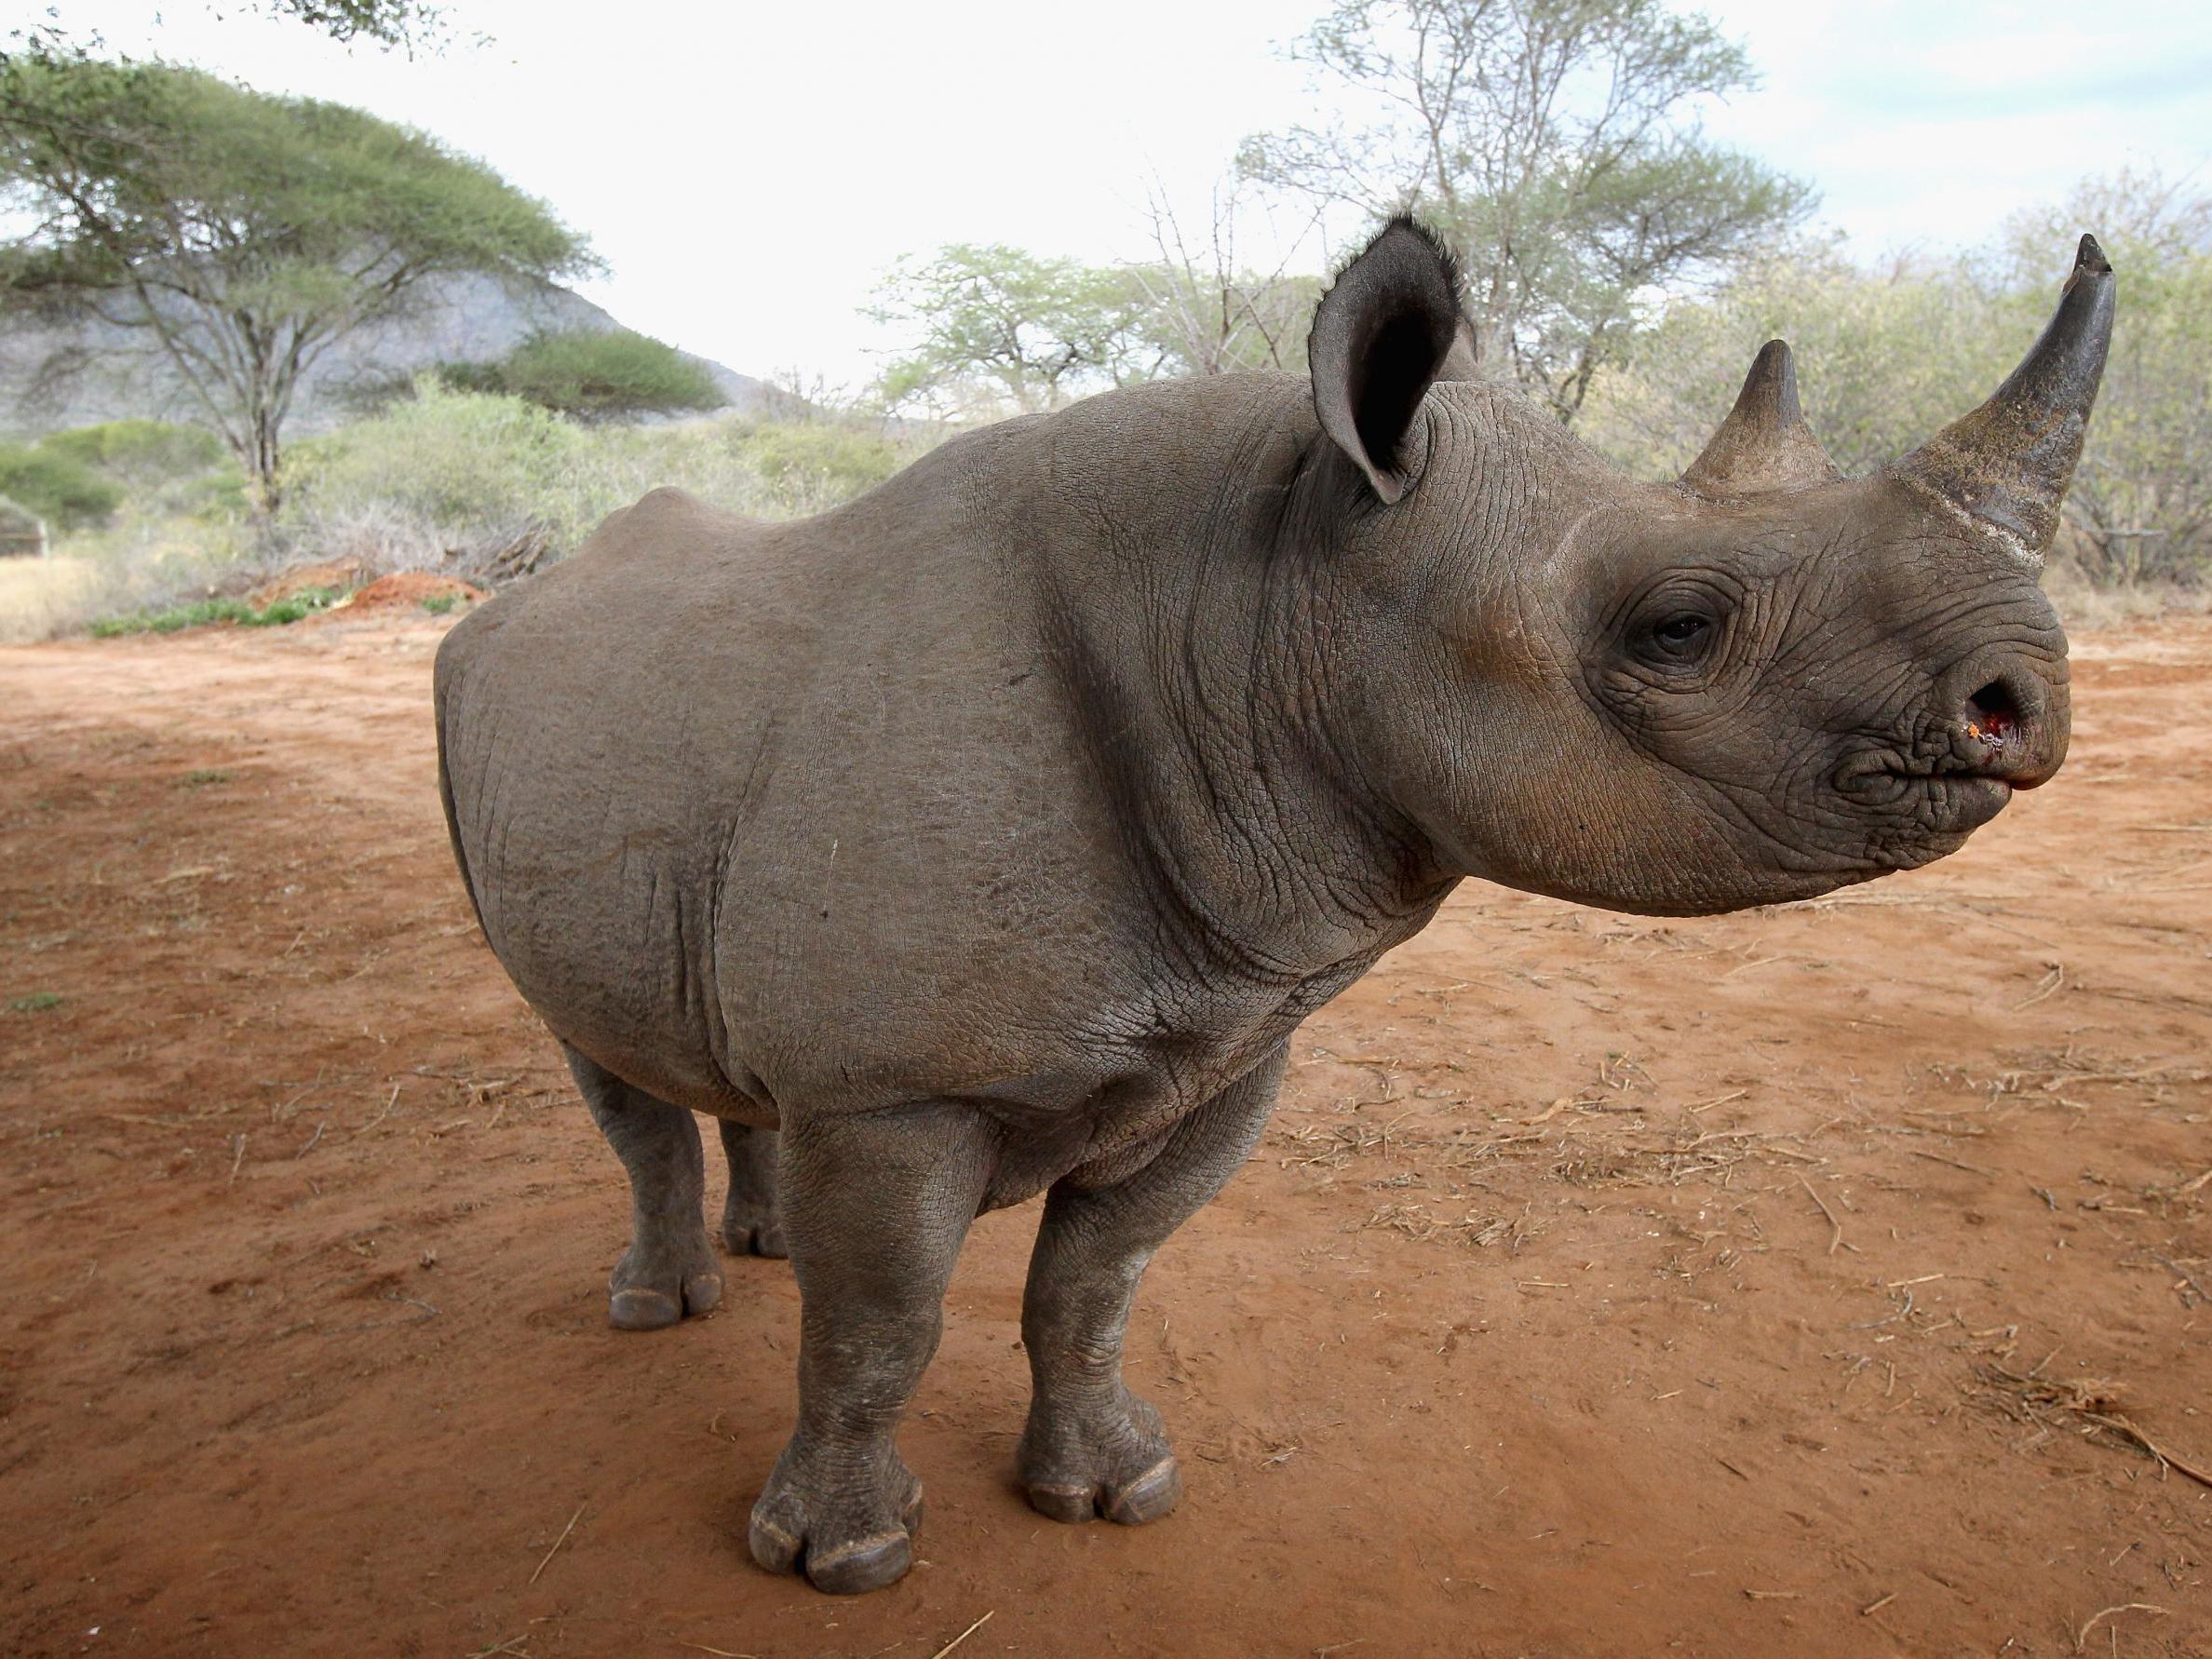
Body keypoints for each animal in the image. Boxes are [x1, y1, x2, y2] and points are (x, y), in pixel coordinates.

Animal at [434, 220, 2113, 1594]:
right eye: (1678, 628)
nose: (2021, 702)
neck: (1264, 601)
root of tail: (508, 598)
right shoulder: (896, 1083)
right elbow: (879, 1325)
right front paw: (840, 1558)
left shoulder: (1230, 1028)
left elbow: (1094, 1283)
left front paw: (1113, 1489)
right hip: (483, 710)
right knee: (592, 1047)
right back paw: (662, 1306)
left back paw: (760, 1238)